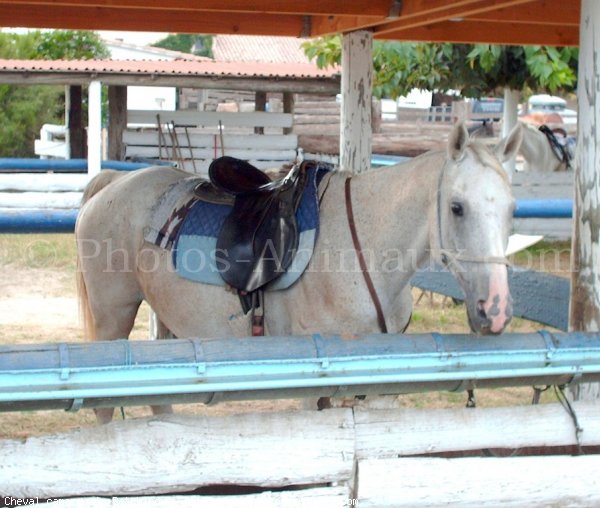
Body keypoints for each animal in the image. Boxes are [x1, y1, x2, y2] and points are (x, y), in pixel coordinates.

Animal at [78, 122, 520, 420]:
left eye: (512, 208)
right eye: (457, 207)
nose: (496, 309)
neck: (365, 253)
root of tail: (112, 182)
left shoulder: (382, 392)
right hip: (113, 316)